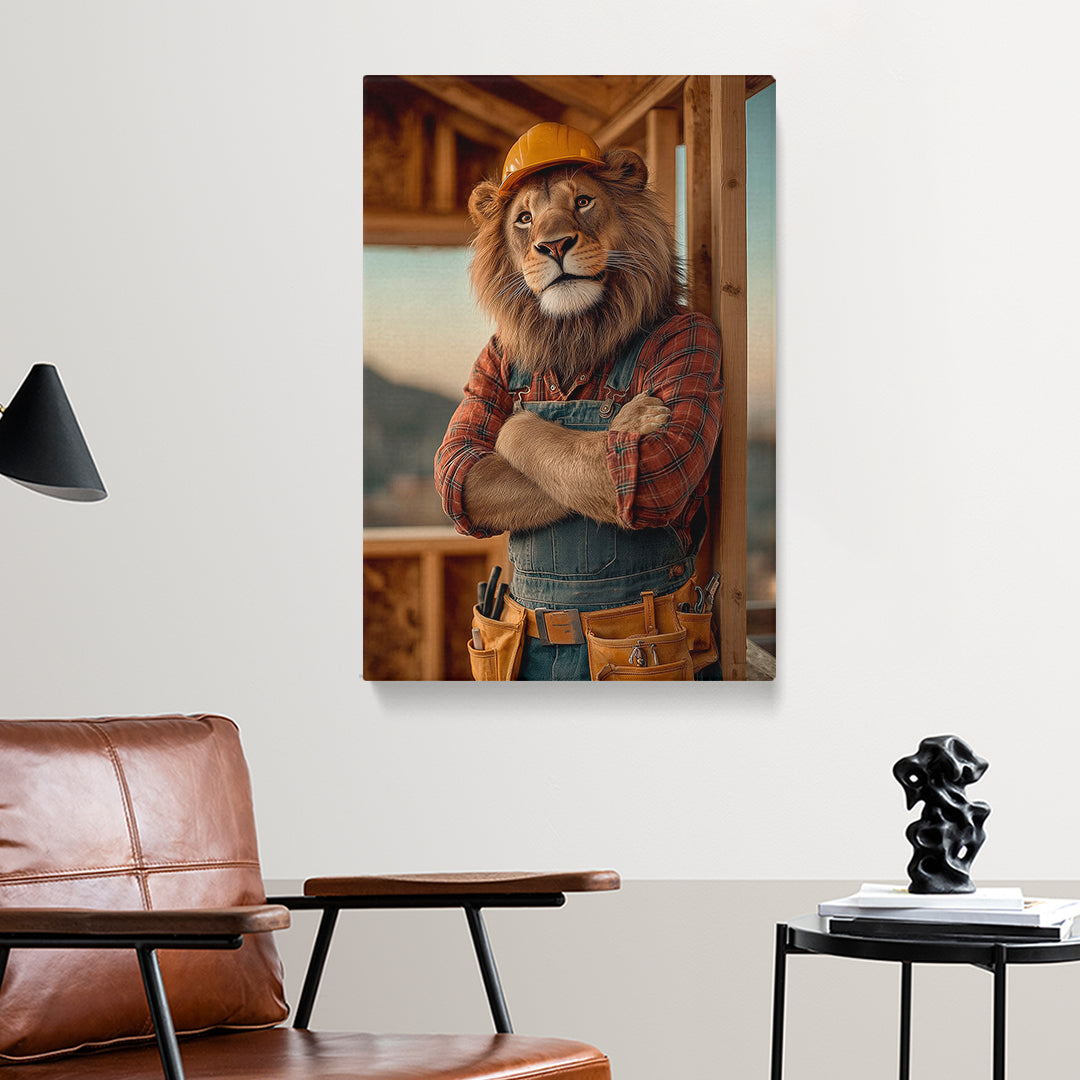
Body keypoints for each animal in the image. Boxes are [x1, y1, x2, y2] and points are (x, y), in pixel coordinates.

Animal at [435, 122, 722, 680]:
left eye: (583, 201)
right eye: (524, 218)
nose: (553, 245)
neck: (575, 333)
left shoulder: (697, 339)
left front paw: (638, 416)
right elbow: (471, 455)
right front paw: (637, 414)